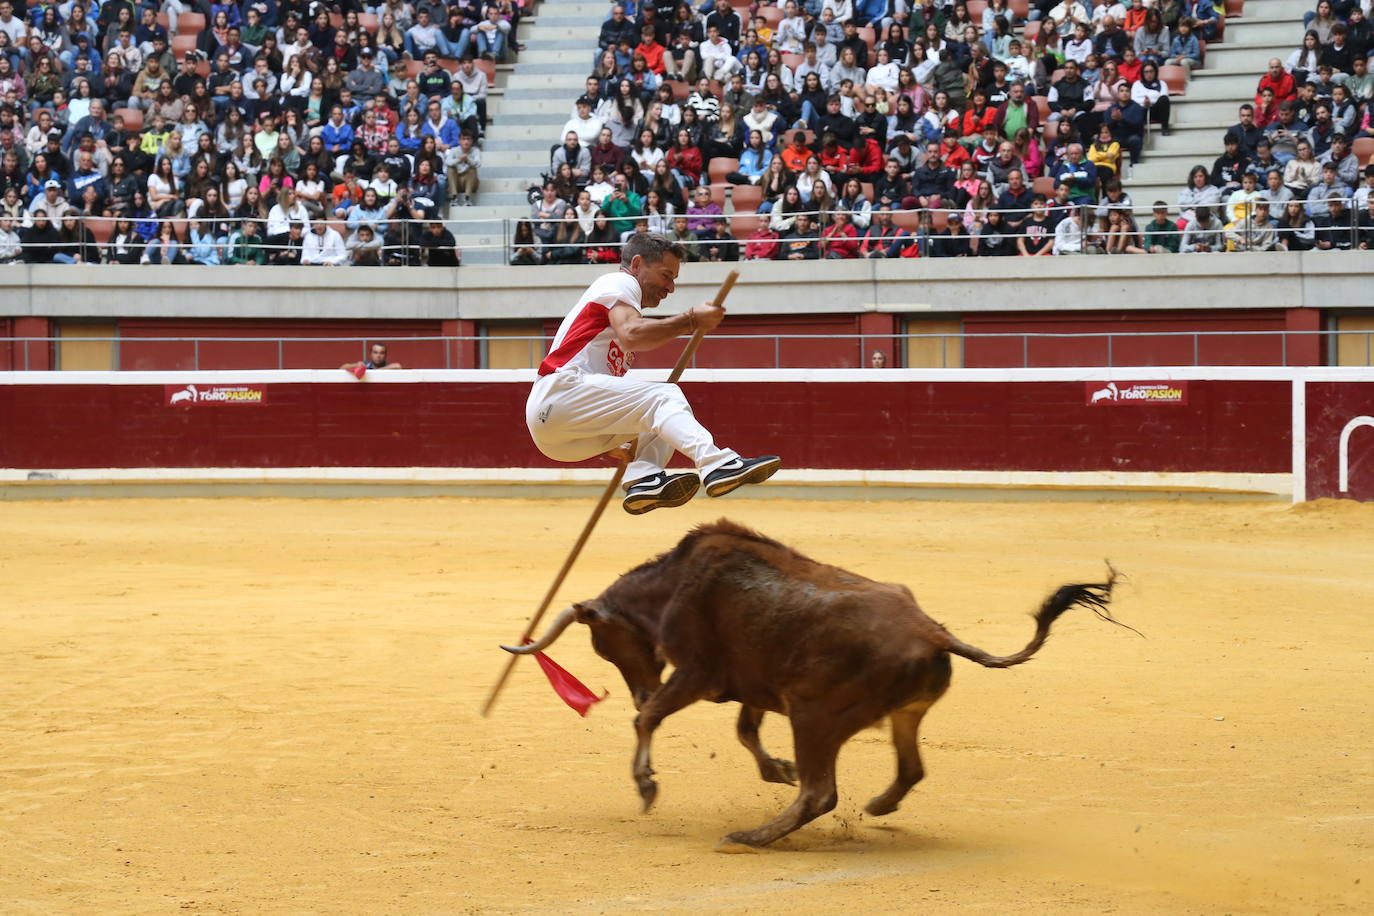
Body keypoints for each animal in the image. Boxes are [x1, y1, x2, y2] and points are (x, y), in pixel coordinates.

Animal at [505, 519, 1115, 851]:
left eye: (604, 645)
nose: (635, 686)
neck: (673, 585)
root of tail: (930, 628)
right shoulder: (752, 684)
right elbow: (745, 731)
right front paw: (777, 769)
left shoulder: (696, 674)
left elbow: (650, 718)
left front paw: (647, 785)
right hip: (900, 714)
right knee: (908, 770)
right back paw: (877, 805)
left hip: (814, 715)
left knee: (822, 793)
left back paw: (748, 838)